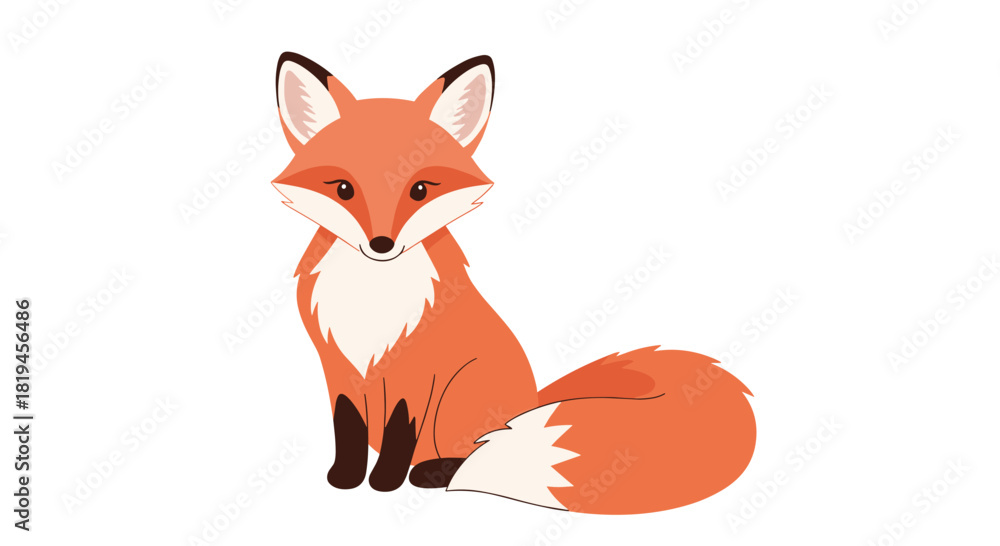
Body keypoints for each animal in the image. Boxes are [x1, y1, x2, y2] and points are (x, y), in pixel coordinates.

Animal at [270, 52, 756, 515]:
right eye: (344, 189)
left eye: (420, 189)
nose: (382, 244)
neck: (372, 297)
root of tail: (533, 399)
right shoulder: (339, 366)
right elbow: (347, 428)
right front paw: (346, 477)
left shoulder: (415, 372)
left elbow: (398, 432)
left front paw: (386, 480)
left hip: (460, 394)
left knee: (465, 452)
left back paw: (435, 471)